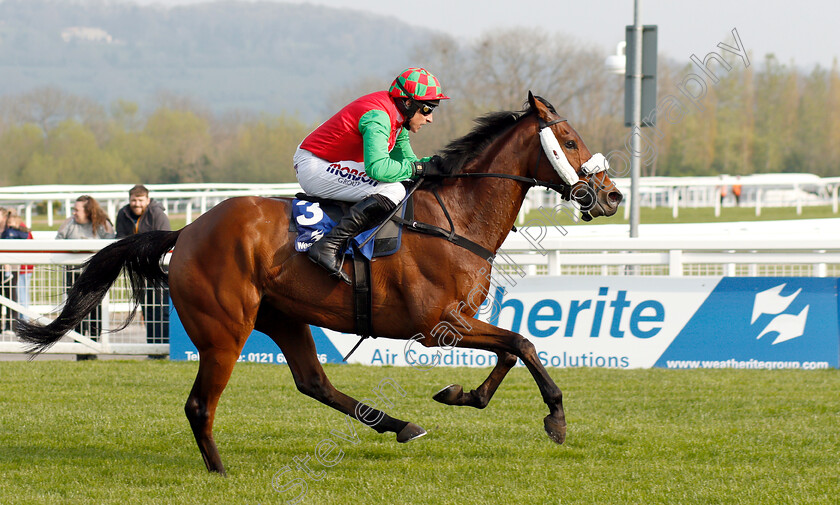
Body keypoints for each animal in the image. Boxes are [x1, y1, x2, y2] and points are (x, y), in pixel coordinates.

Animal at [18, 91, 624, 472]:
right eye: (569, 140)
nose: (613, 196)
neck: (455, 218)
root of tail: (188, 230)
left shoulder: (458, 321)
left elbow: (511, 349)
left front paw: (462, 395)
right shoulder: (437, 325)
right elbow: (523, 342)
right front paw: (556, 418)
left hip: (285, 318)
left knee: (314, 383)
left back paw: (401, 425)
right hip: (224, 330)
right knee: (199, 405)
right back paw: (219, 470)